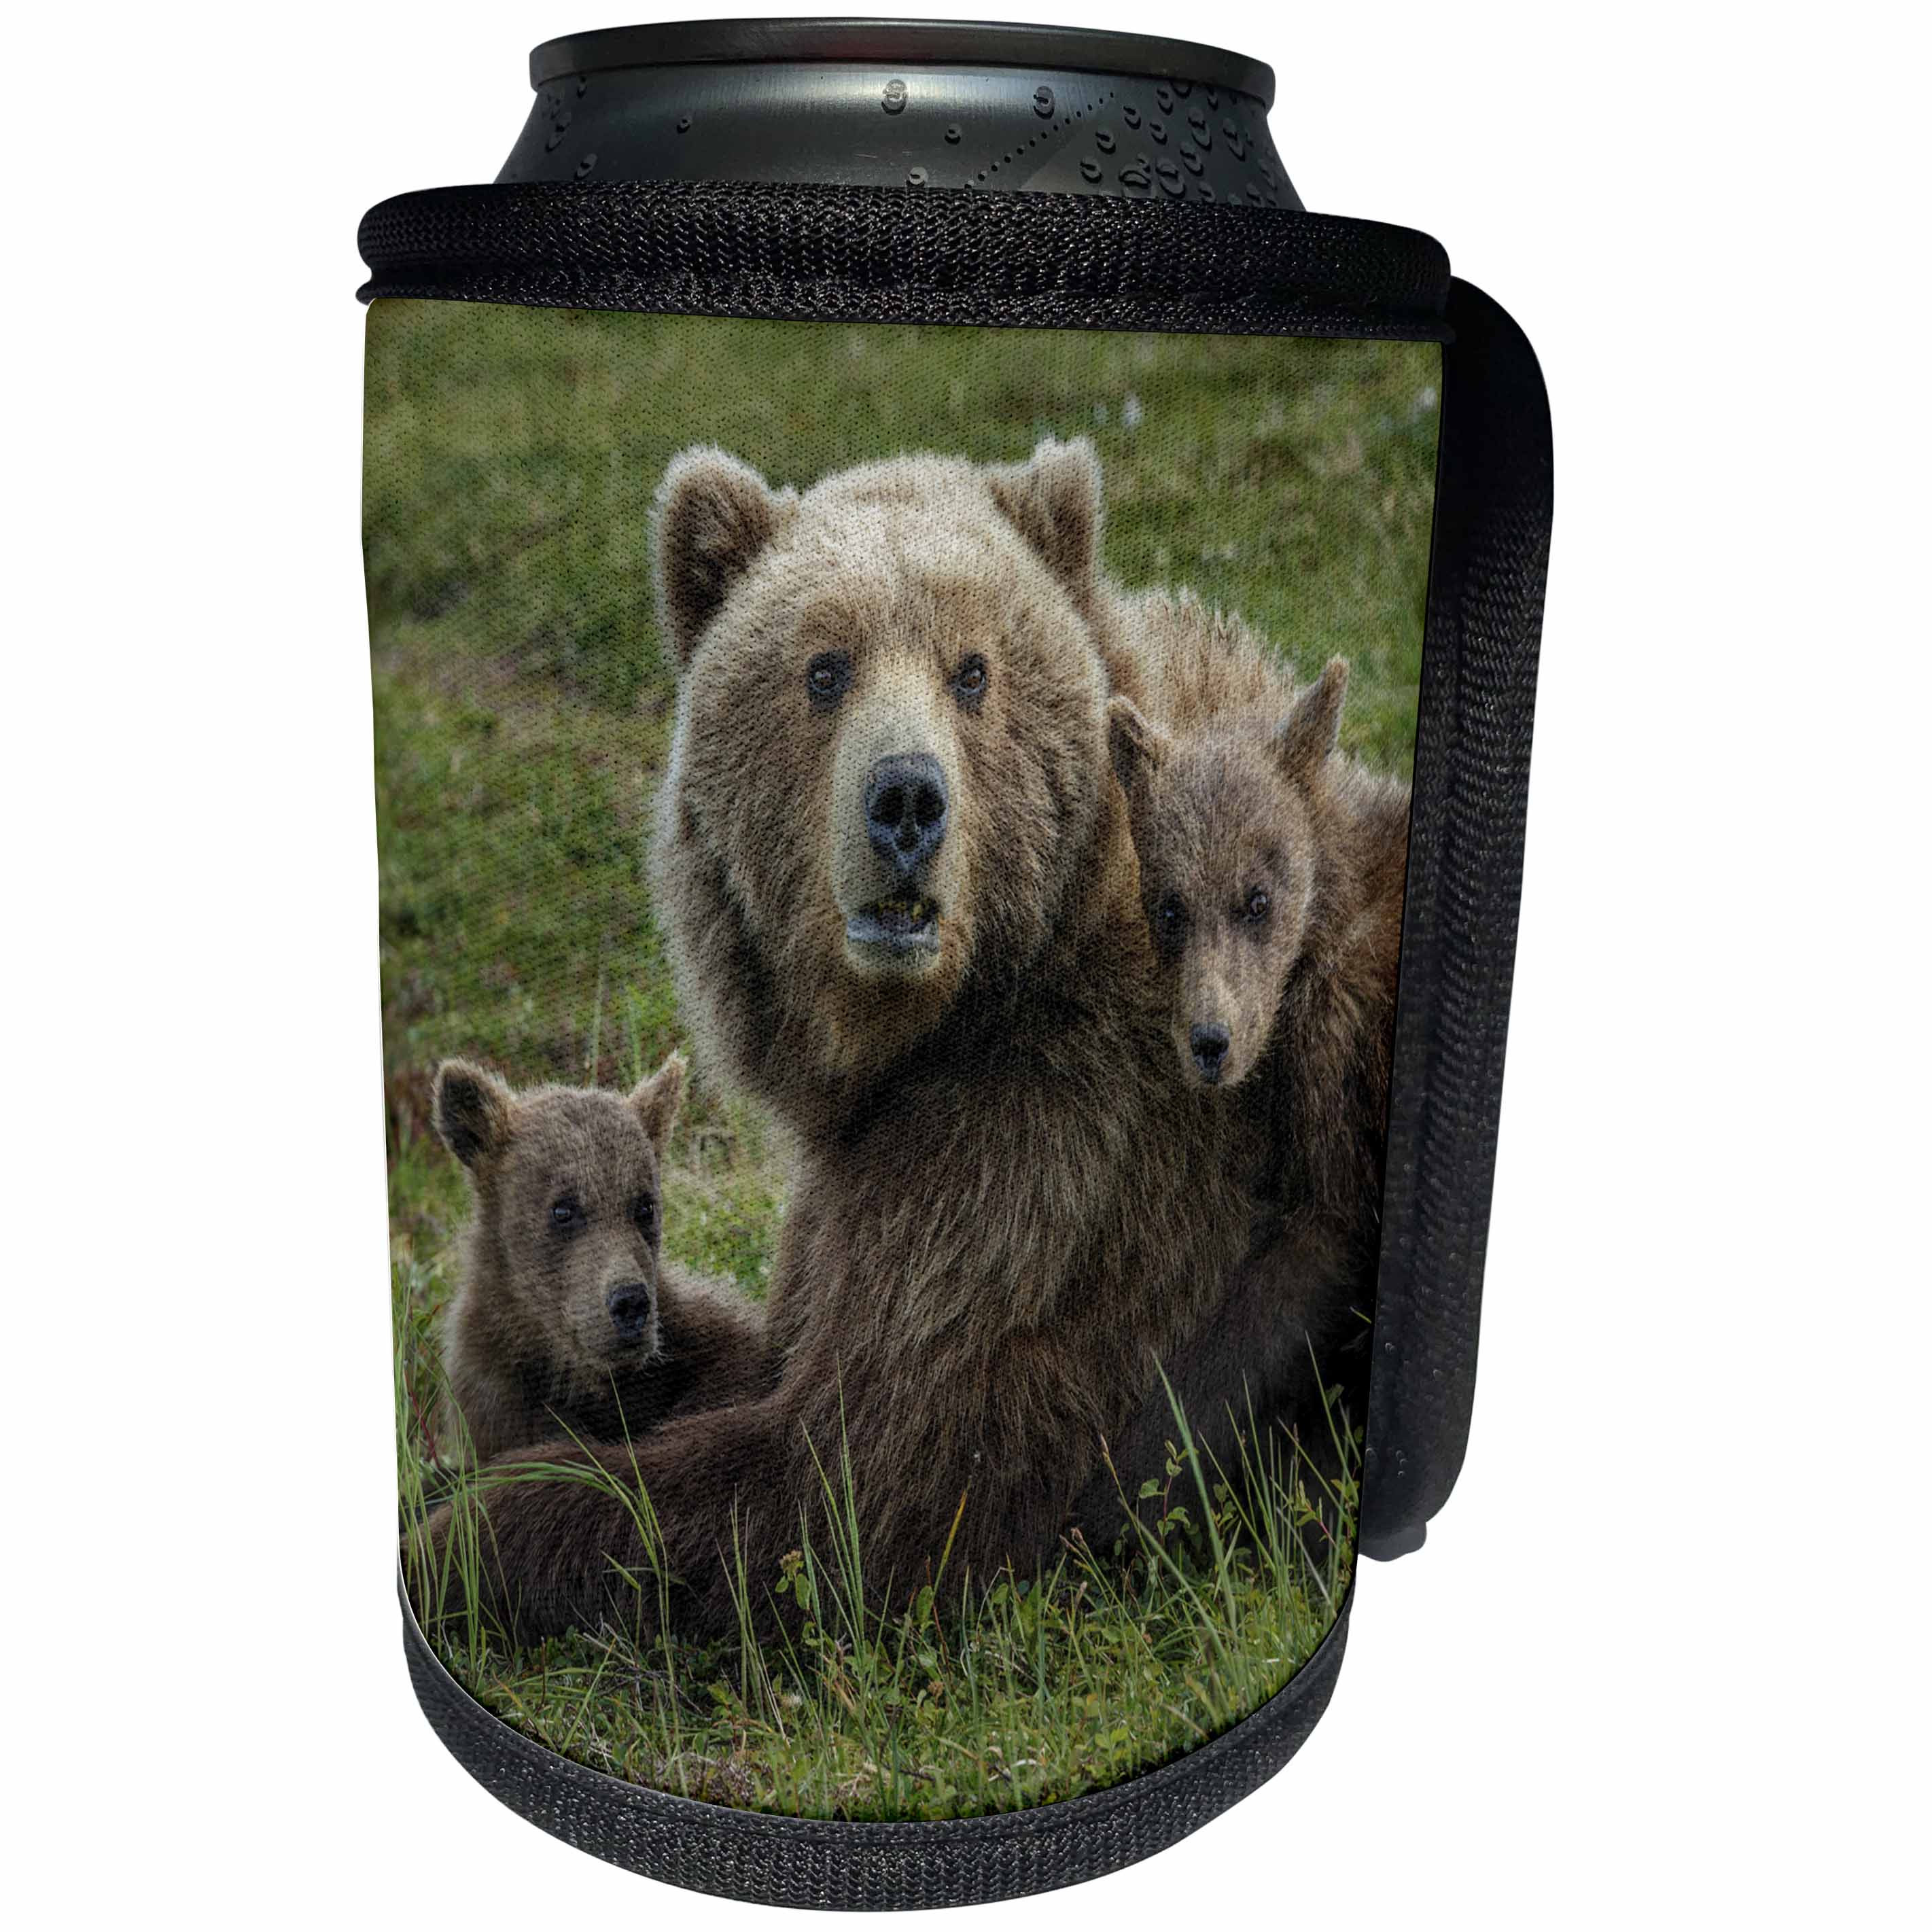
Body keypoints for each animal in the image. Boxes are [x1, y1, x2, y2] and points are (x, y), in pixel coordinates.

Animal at [1073, 647, 1412, 1555]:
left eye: (1254, 899)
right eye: (1169, 906)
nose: (1209, 1040)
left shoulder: (1342, 1062)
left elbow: (1293, 1273)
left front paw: (1114, 1504)